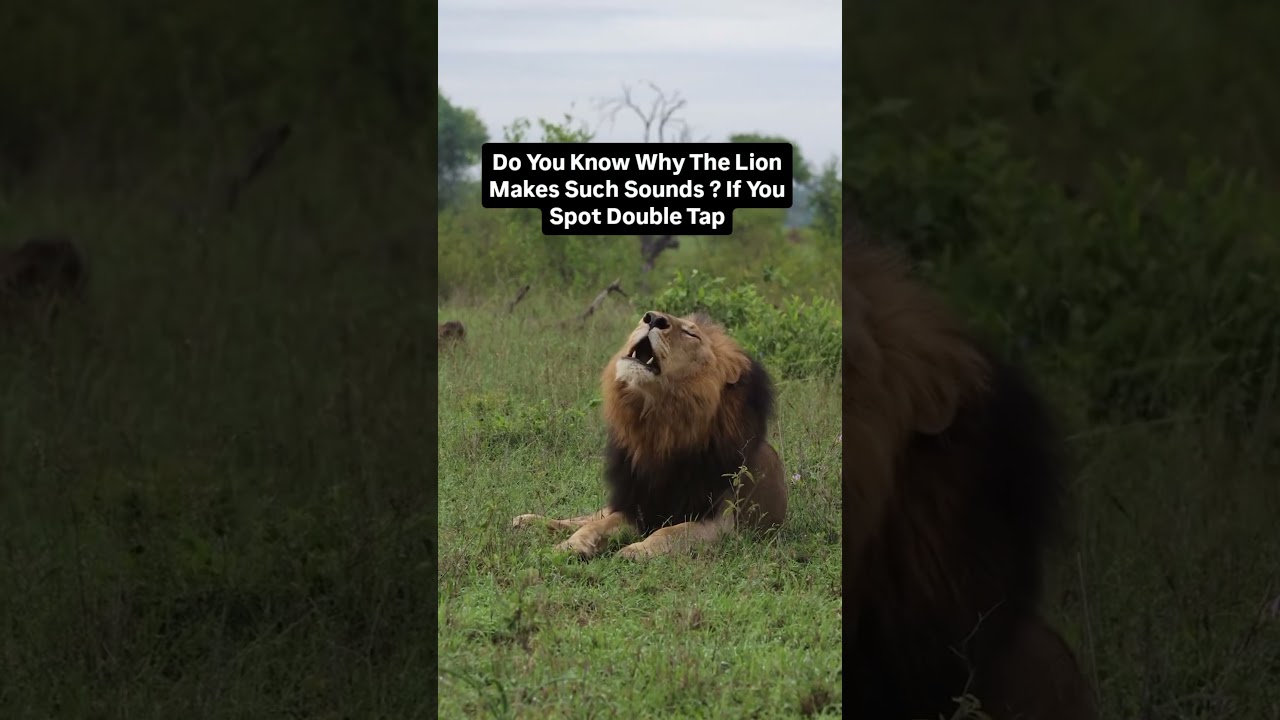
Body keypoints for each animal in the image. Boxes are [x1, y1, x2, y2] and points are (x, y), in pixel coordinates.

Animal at [512, 310, 787, 560]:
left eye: (691, 334)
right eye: (650, 316)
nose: (653, 318)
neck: (659, 428)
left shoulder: (720, 524)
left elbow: (671, 532)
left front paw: (634, 551)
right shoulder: (637, 505)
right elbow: (597, 525)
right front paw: (569, 546)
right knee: (586, 517)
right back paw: (529, 522)